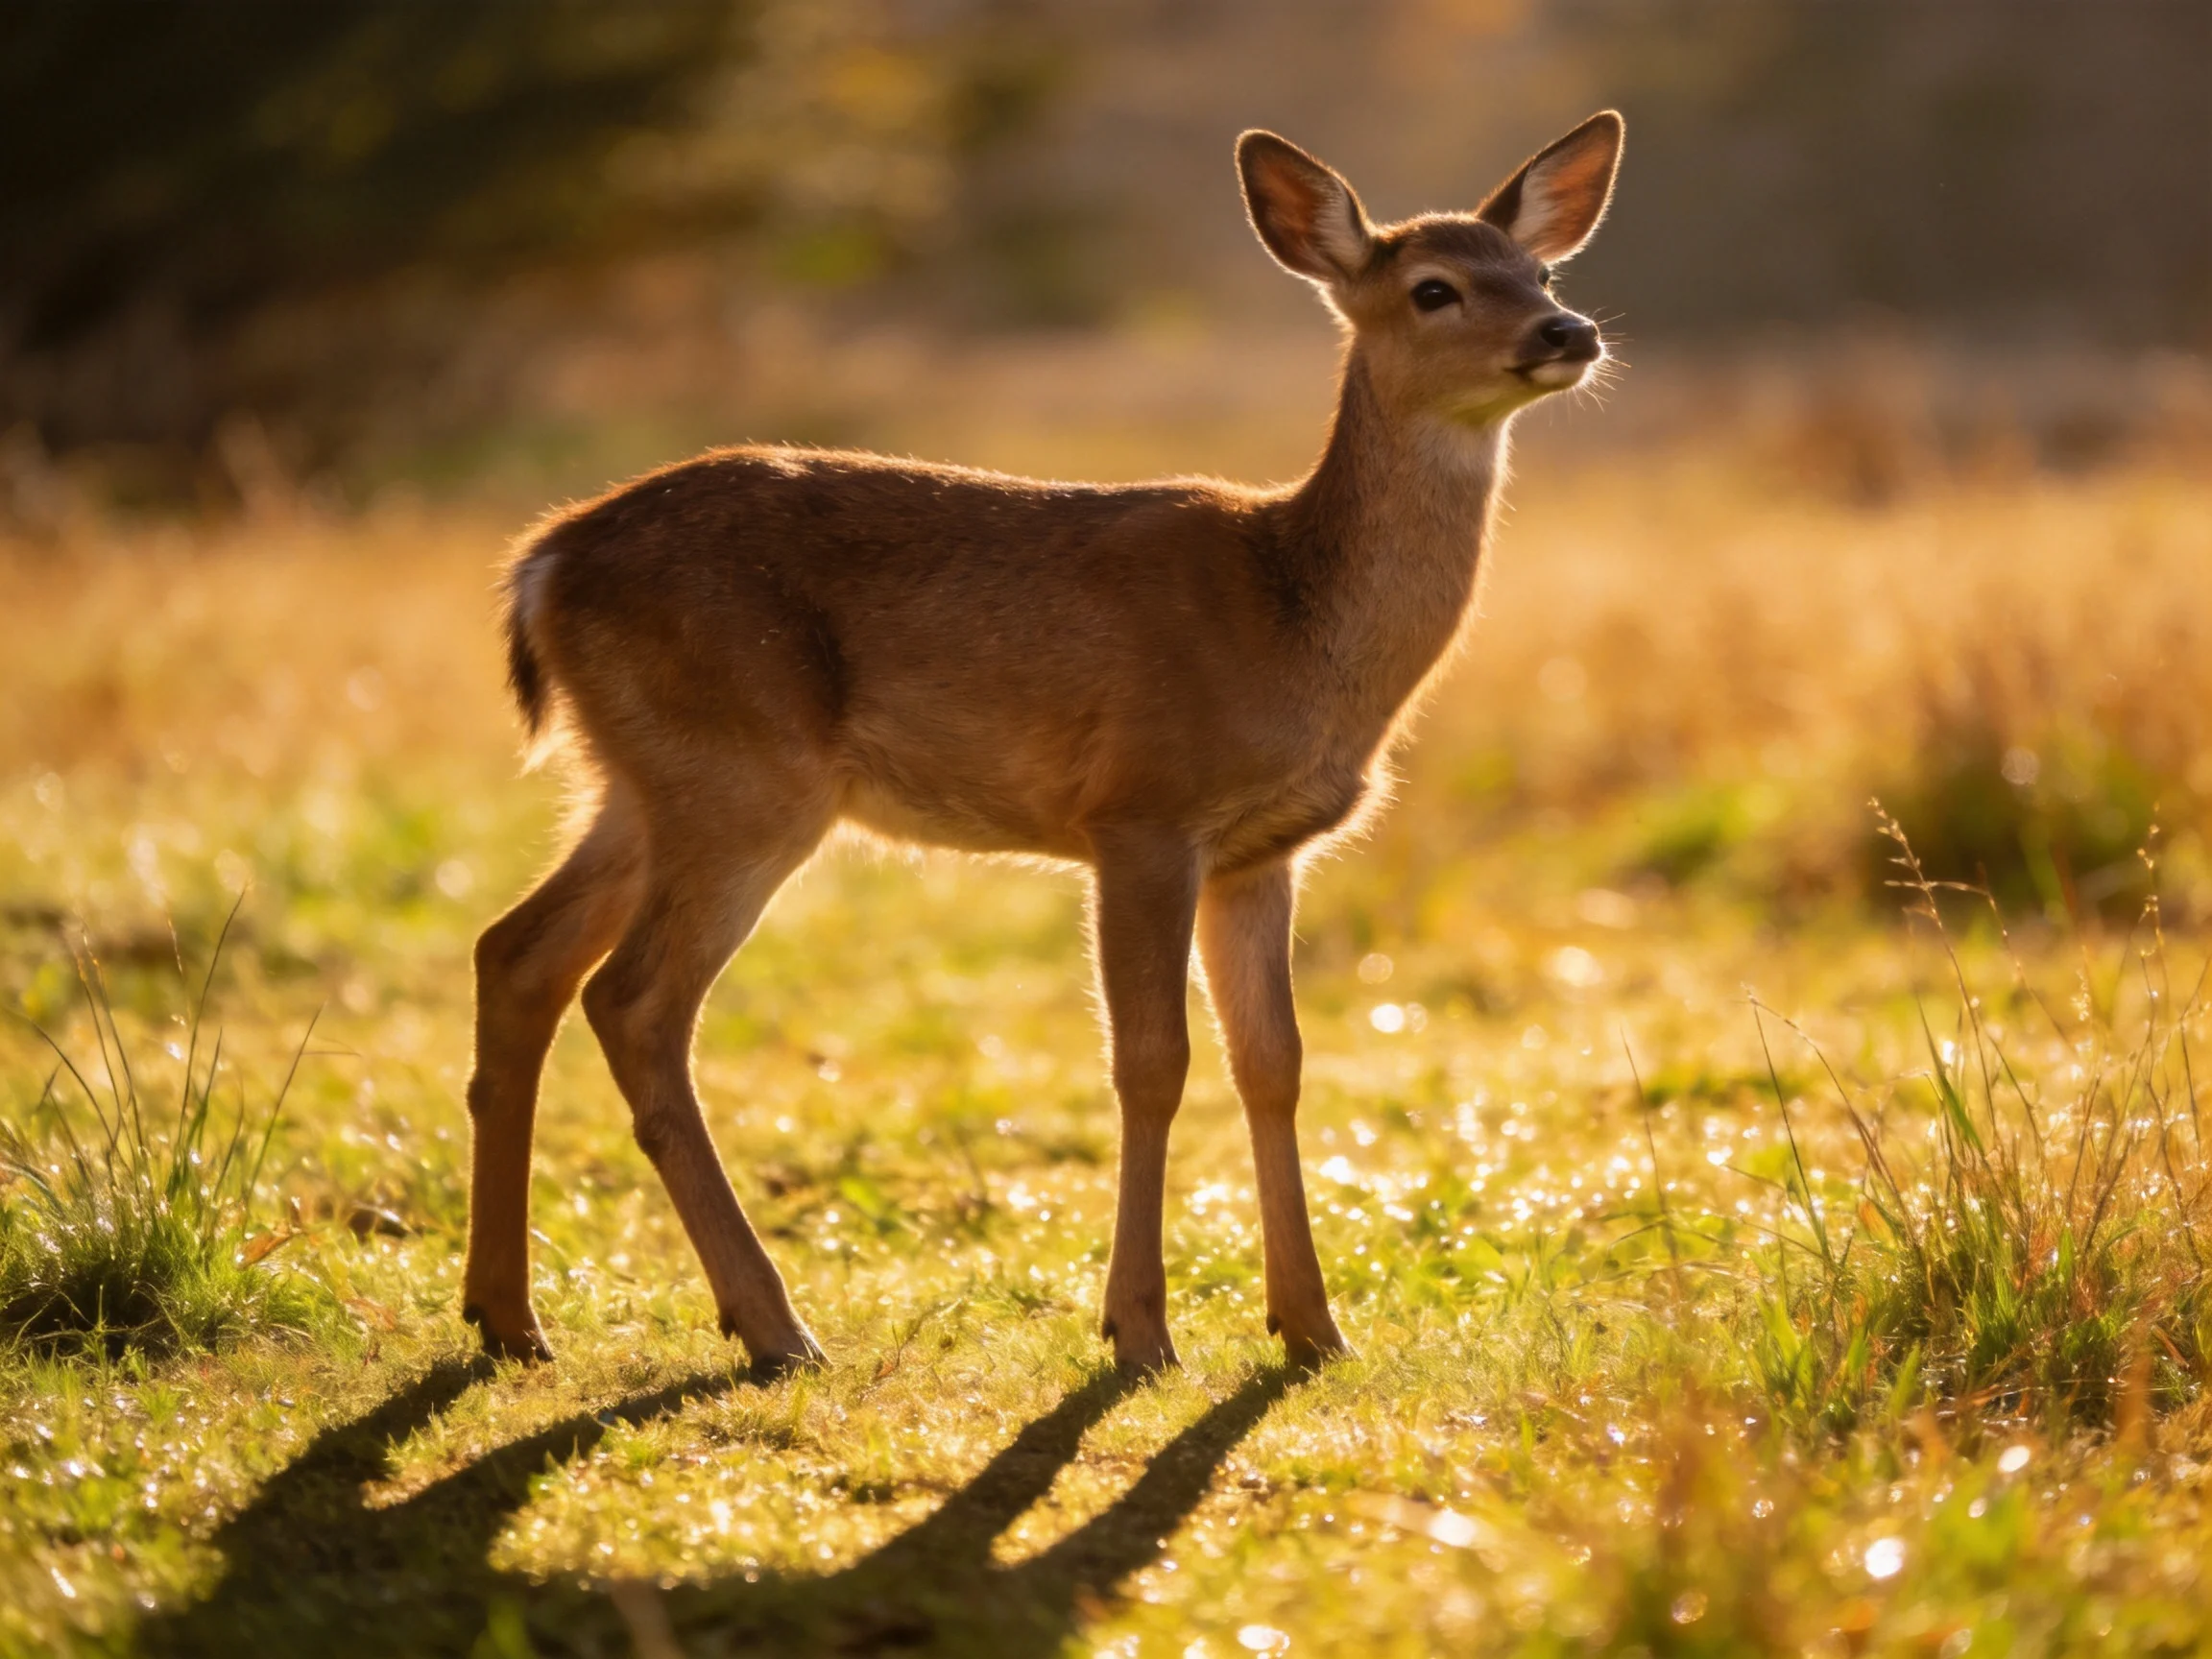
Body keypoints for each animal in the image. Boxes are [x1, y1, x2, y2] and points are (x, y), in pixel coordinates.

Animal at [462, 112, 1624, 1378]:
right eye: (1434, 288)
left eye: (1542, 273)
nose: (1570, 331)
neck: (1292, 620)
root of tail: (542, 565)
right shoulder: (1142, 810)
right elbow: (1152, 1061)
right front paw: (1140, 1329)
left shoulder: (1263, 852)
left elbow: (1274, 1064)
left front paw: (1312, 1327)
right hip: (743, 777)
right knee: (633, 1001)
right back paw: (772, 1325)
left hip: (640, 778)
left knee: (516, 952)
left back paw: (509, 1317)